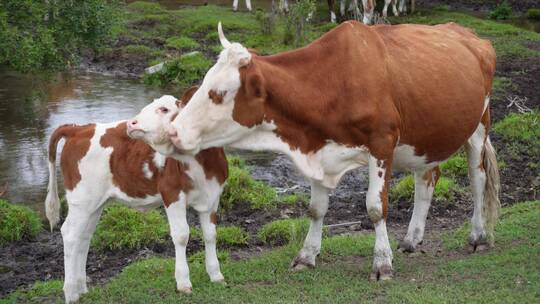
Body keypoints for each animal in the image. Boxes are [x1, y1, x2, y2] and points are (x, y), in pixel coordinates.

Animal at [43, 89, 226, 302]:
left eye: (164, 109)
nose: (131, 123)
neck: (203, 164)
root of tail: (79, 129)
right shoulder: (172, 193)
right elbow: (181, 235)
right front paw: (183, 283)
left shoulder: (212, 196)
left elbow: (211, 235)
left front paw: (216, 275)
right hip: (81, 199)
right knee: (70, 234)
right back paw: (71, 293)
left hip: (94, 204)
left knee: (84, 236)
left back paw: (81, 289)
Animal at [158, 21, 500, 282]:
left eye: (218, 93)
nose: (173, 131)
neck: (333, 82)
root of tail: (467, 33)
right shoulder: (317, 150)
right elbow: (316, 209)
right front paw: (306, 255)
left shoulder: (382, 144)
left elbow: (375, 208)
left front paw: (382, 263)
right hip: (427, 137)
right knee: (427, 180)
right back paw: (412, 239)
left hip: (479, 125)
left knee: (478, 179)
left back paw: (479, 236)